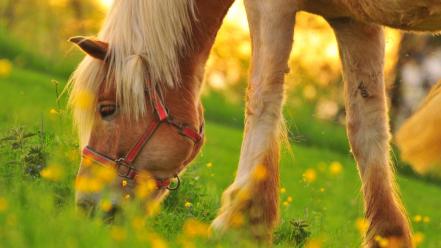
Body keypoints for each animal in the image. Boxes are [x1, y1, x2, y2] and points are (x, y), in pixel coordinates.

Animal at [67, 0, 438, 247]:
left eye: (107, 109)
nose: (86, 205)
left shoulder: (270, 6)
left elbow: (262, 96)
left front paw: (243, 223)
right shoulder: (354, 19)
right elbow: (367, 126)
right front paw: (387, 235)